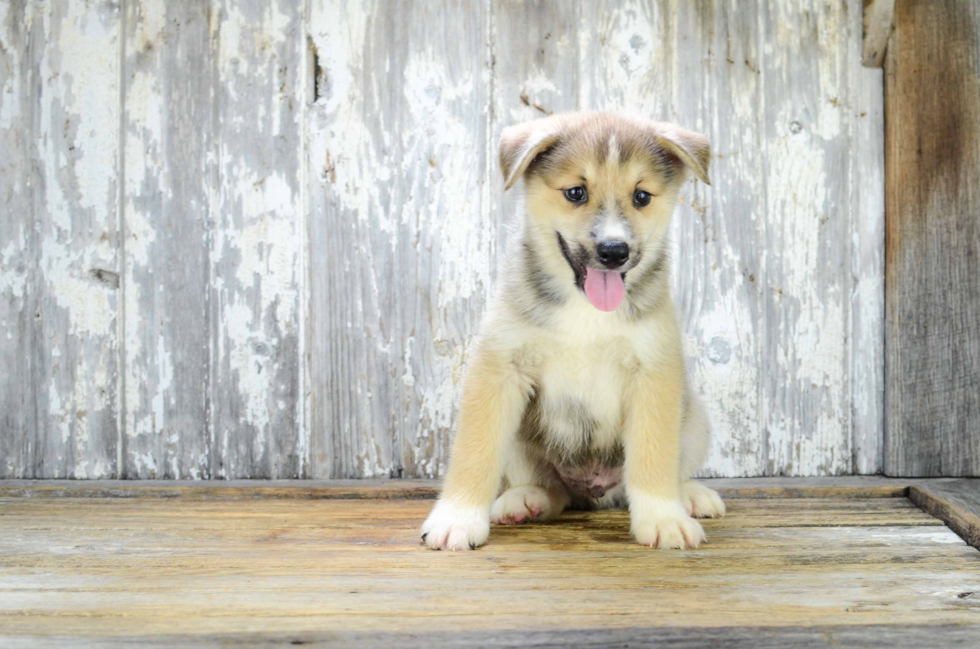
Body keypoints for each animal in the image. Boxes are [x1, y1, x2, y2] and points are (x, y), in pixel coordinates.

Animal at [418, 114, 724, 548]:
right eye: (576, 193)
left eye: (642, 197)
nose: (614, 252)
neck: (585, 309)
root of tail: (593, 491)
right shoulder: (499, 370)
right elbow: (474, 453)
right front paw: (457, 518)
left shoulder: (653, 373)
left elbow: (652, 457)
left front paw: (663, 518)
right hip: (522, 441)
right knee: (551, 490)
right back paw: (525, 500)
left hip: (694, 418)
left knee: (667, 470)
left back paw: (690, 495)